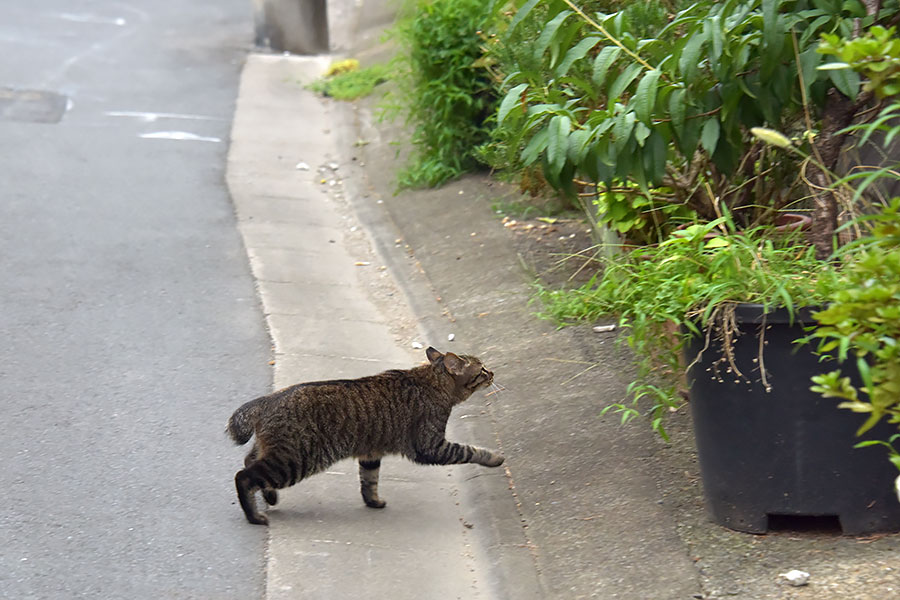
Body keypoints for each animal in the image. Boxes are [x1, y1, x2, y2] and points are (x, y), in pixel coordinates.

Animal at [225, 346, 506, 524]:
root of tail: (267, 400)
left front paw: (374, 501)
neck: (432, 382)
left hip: (276, 453)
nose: (493, 373)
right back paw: (254, 516)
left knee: (249, 461)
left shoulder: (371, 452)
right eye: (482, 370)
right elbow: (469, 450)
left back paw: (270, 495)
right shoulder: (430, 446)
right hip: (293, 461)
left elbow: (369, 481)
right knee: (244, 476)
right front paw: (494, 458)